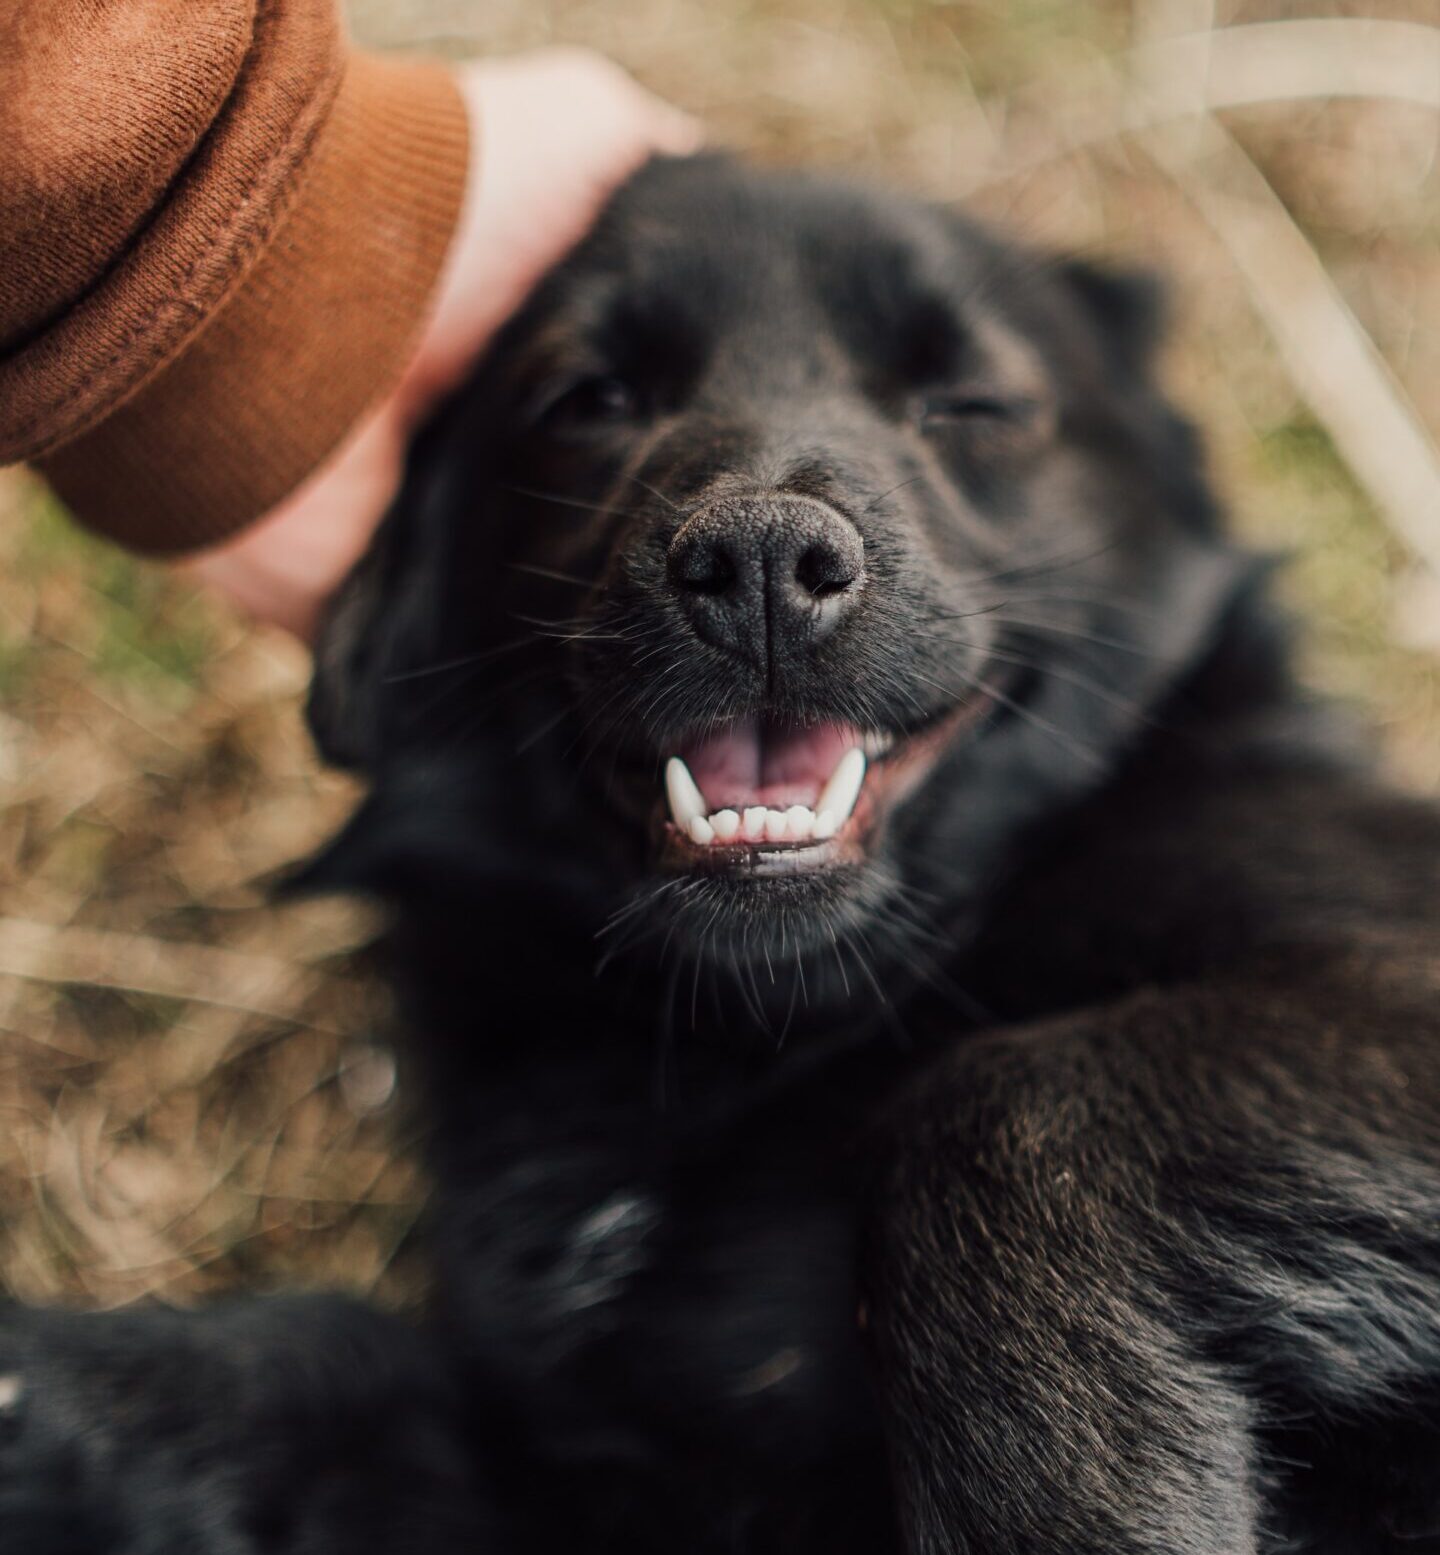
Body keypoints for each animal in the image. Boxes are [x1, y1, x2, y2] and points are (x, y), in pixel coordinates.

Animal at [2, 154, 1440, 1555]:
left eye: (969, 400)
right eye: (591, 397)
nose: (758, 560)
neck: (761, 1032)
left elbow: (1001, 1101)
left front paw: (1072, 1496)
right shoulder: (614, 1480)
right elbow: (297, 1370)